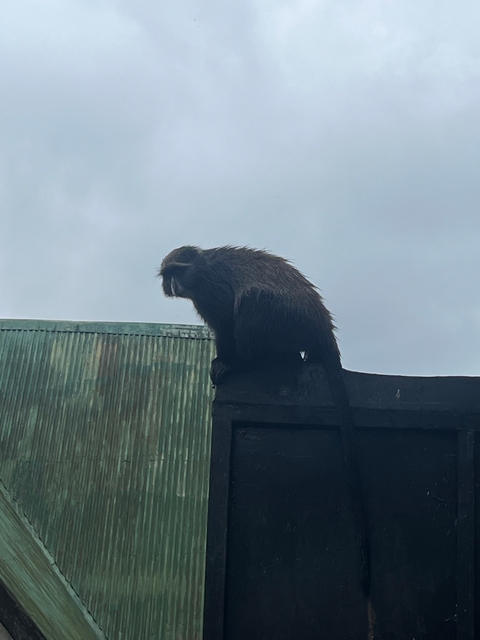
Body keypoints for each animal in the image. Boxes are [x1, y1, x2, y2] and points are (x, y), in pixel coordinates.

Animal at [158, 245, 372, 613]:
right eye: (167, 274)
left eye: (177, 271)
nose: (171, 284)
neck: (201, 268)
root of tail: (321, 321)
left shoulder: (211, 292)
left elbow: (226, 323)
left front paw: (227, 362)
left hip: (283, 319)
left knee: (252, 301)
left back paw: (246, 362)